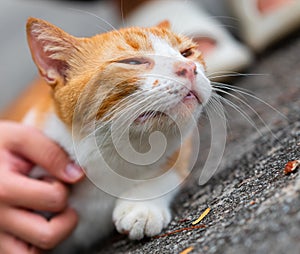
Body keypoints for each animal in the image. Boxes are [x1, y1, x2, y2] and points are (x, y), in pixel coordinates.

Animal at [5, 17, 211, 252]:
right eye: (133, 62)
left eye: (187, 53)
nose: (189, 67)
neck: (111, 154)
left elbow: (173, 170)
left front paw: (142, 206)